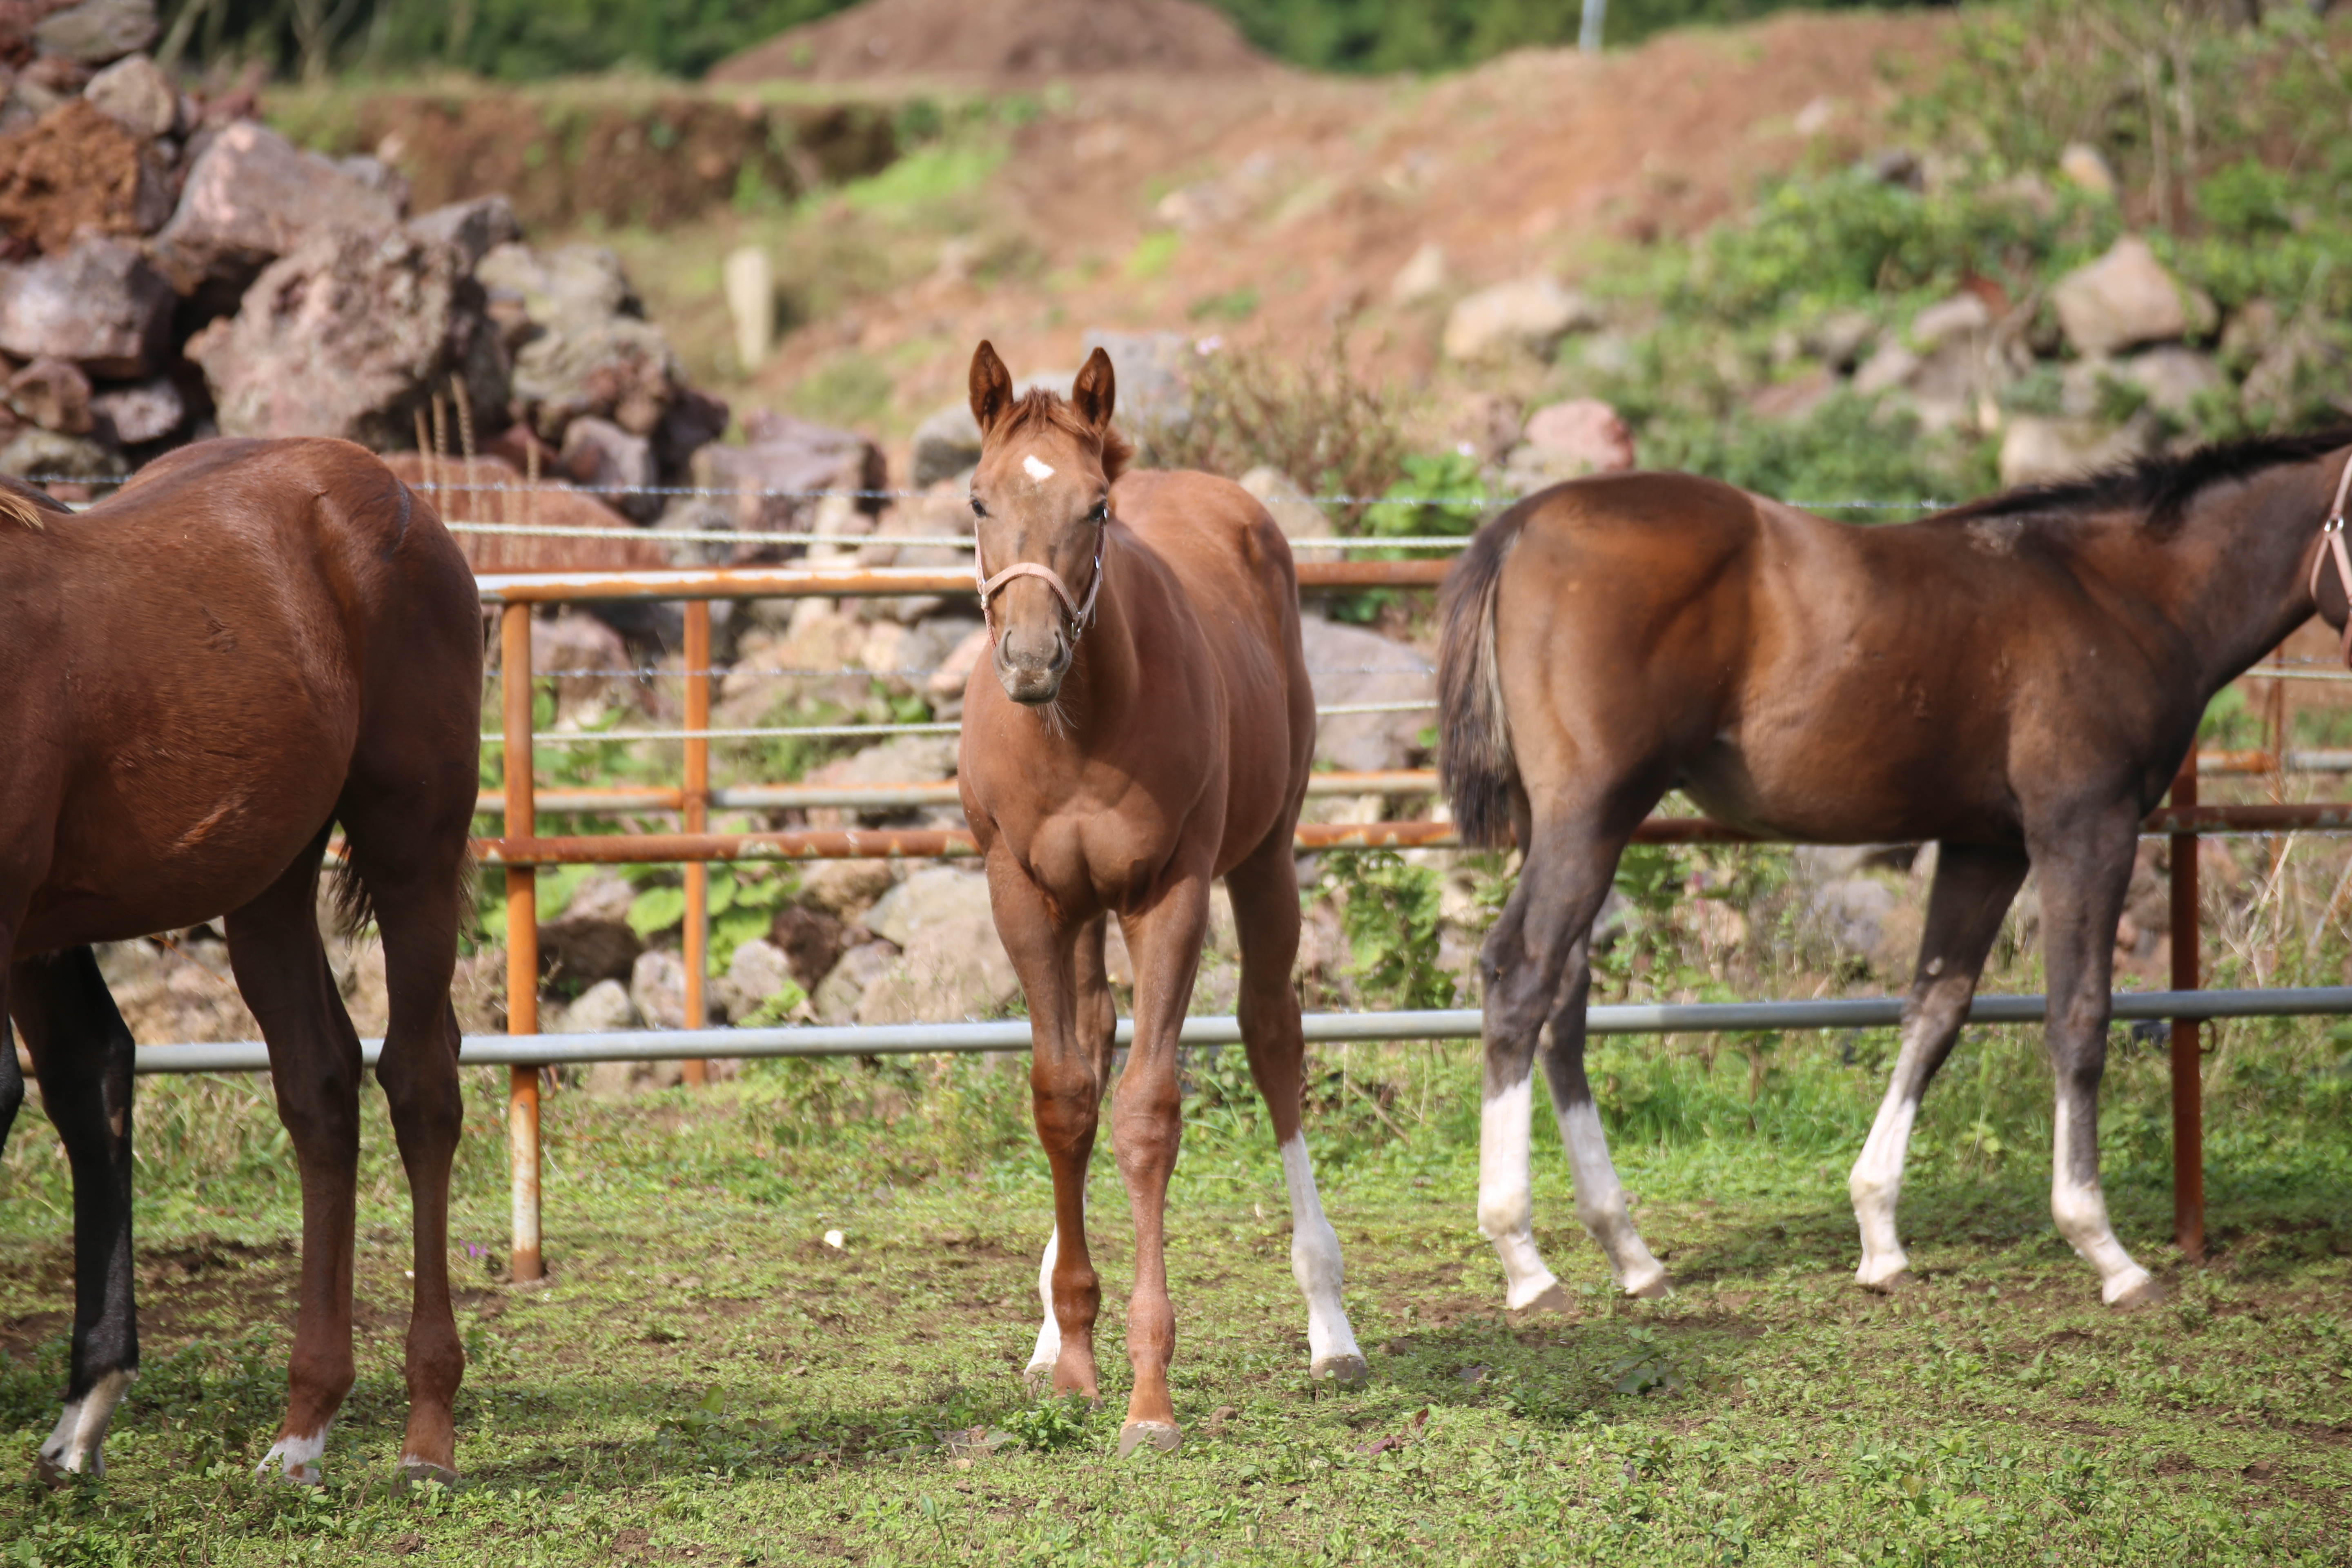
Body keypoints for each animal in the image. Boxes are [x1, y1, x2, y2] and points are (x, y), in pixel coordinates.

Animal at [0, 442, 482, 1486]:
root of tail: (388, 485)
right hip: (265, 882)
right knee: (318, 1084)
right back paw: (303, 1425)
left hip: (413, 847)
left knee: (420, 1081)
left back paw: (426, 1433)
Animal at [950, 343, 1364, 1457]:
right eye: (976, 499)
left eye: (1095, 507)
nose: (1030, 659)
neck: (1080, 725)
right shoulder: (1023, 896)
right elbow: (1062, 1098)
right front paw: (1072, 1363)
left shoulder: (1170, 894)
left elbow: (1145, 1114)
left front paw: (1146, 1397)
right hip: (1084, 910)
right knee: (1093, 1038)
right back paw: (1049, 1333)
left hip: (1265, 857)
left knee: (1272, 1037)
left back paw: (1332, 1328)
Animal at [1430, 430, 2352, 1316]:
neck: (2119, 593)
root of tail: (1522, 526)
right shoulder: (2086, 827)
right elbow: (2079, 1019)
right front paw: (2106, 1251)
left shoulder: (1986, 847)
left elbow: (1935, 1011)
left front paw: (1879, 1238)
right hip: (1593, 813)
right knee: (1522, 976)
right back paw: (1526, 1263)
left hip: (1564, 826)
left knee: (1565, 997)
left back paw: (1631, 1255)